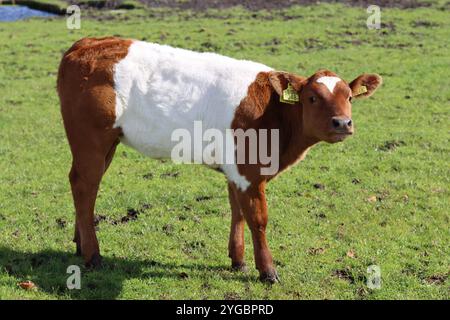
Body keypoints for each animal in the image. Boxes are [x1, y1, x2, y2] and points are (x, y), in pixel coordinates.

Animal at [55, 37, 380, 282]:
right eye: (312, 98)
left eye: (350, 97)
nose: (342, 123)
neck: (274, 114)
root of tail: (86, 43)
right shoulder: (249, 170)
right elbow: (258, 219)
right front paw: (268, 271)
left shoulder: (237, 170)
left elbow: (238, 212)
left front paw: (238, 260)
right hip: (91, 140)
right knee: (85, 186)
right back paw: (93, 255)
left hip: (105, 145)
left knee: (82, 185)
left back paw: (79, 243)